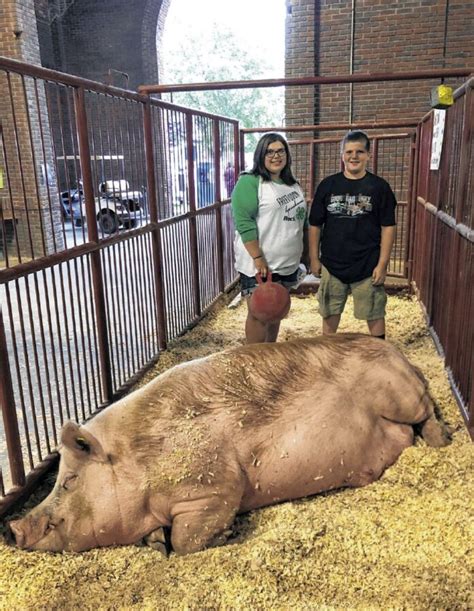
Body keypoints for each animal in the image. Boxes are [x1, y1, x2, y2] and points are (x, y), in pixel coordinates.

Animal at [9, 334, 450, 556]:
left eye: (69, 481)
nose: (13, 530)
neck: (139, 460)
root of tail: (399, 352)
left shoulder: (214, 483)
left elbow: (188, 540)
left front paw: (224, 537)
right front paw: (155, 542)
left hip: (402, 394)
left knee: (428, 411)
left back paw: (442, 441)